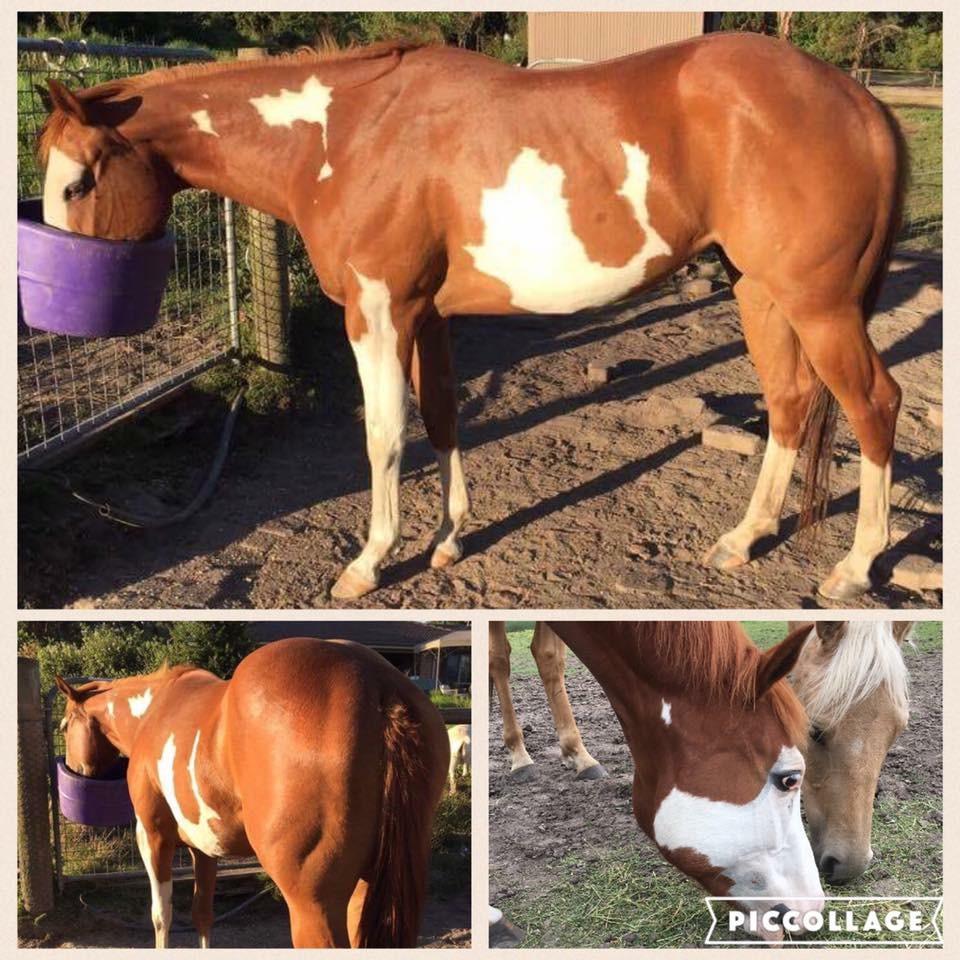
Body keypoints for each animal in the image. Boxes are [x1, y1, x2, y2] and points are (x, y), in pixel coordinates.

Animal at [38, 32, 906, 601]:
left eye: (77, 183)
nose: (50, 323)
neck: (345, 135)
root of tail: (857, 100)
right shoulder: (425, 315)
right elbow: (444, 417)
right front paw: (449, 539)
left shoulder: (378, 311)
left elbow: (384, 433)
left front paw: (370, 561)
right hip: (760, 292)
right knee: (790, 402)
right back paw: (744, 538)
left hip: (819, 306)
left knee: (874, 405)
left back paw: (855, 566)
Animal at [55, 637, 450, 948]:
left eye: (63, 725)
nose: (74, 769)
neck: (152, 712)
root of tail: (380, 687)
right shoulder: (204, 848)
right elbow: (202, 915)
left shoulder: (153, 836)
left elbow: (161, 916)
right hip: (366, 887)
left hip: (313, 906)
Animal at [489, 620, 824, 942]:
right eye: (789, 780)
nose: (812, 910)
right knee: (500, 658)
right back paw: (521, 758)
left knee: (546, 656)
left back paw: (578, 756)